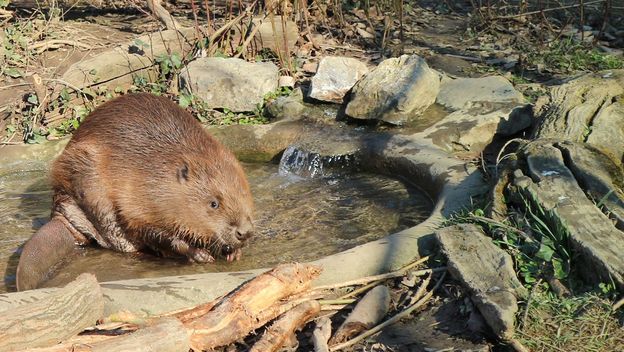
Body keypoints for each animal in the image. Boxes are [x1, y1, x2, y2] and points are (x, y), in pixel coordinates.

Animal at [17, 92, 256, 290]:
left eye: (244, 194)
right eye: (214, 203)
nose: (244, 232)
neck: (159, 171)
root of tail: (63, 218)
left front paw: (234, 253)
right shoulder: (134, 198)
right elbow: (152, 231)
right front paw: (199, 254)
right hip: (90, 190)